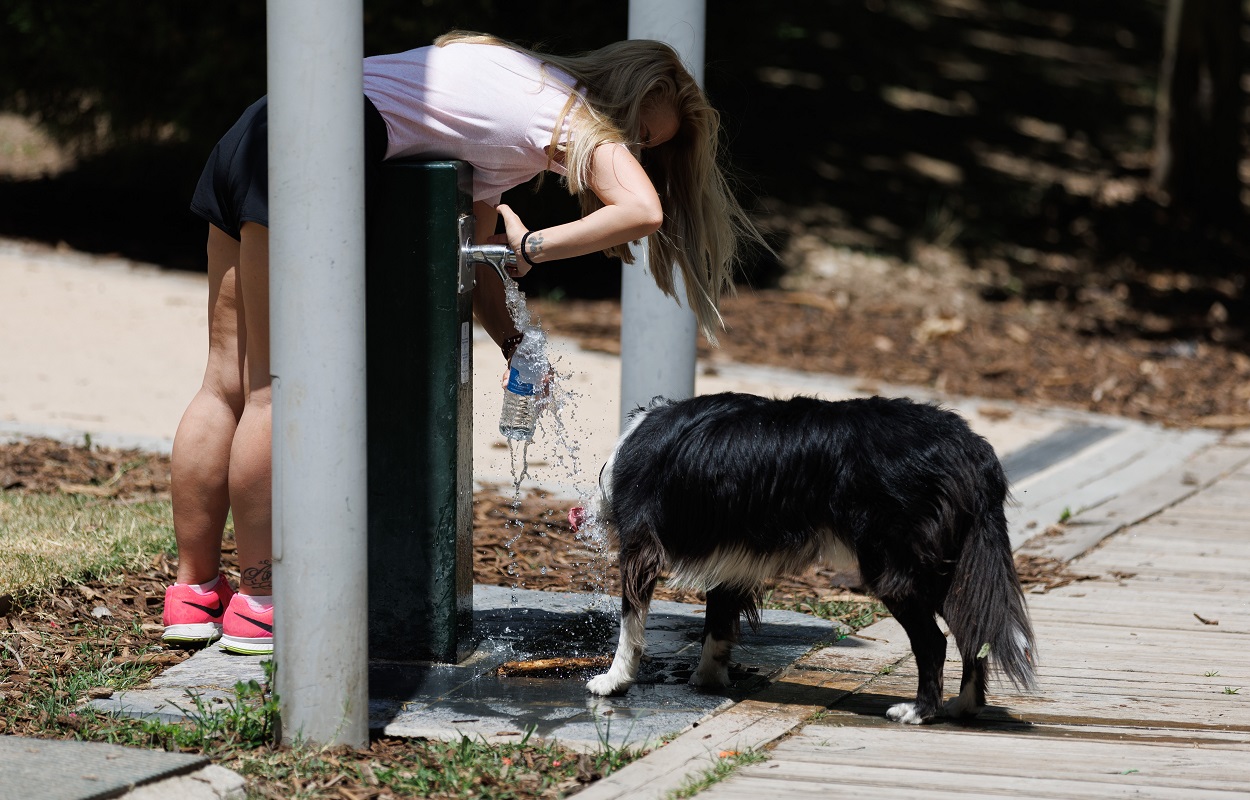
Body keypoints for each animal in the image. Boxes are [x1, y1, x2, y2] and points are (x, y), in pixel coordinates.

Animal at [580, 395, 1040, 725]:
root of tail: (970, 446)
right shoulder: (731, 560)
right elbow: (718, 624)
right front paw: (708, 679)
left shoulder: (641, 548)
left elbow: (630, 624)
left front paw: (613, 681)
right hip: (949, 566)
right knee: (973, 630)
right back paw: (965, 706)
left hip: (894, 568)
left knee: (935, 641)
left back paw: (918, 711)